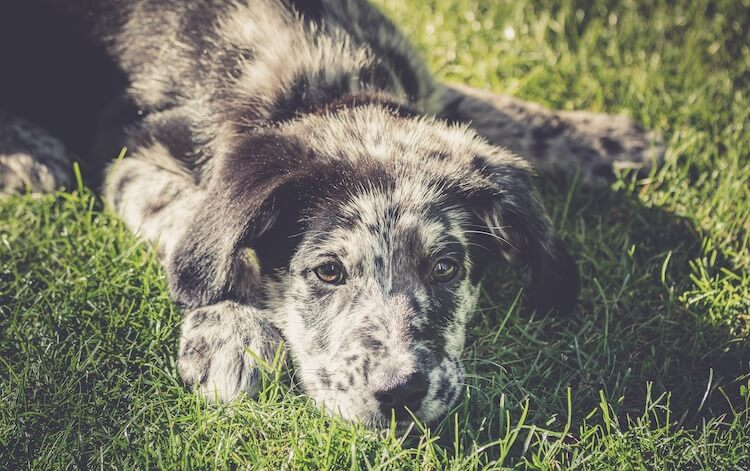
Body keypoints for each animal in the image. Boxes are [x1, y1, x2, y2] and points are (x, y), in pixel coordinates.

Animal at [0, 0, 664, 428]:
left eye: (446, 268)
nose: (400, 393)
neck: (318, 81)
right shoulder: (129, 149)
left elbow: (496, 108)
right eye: (327, 272)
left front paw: (607, 140)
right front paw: (234, 330)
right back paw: (28, 151)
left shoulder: (428, 93)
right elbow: (197, 221)